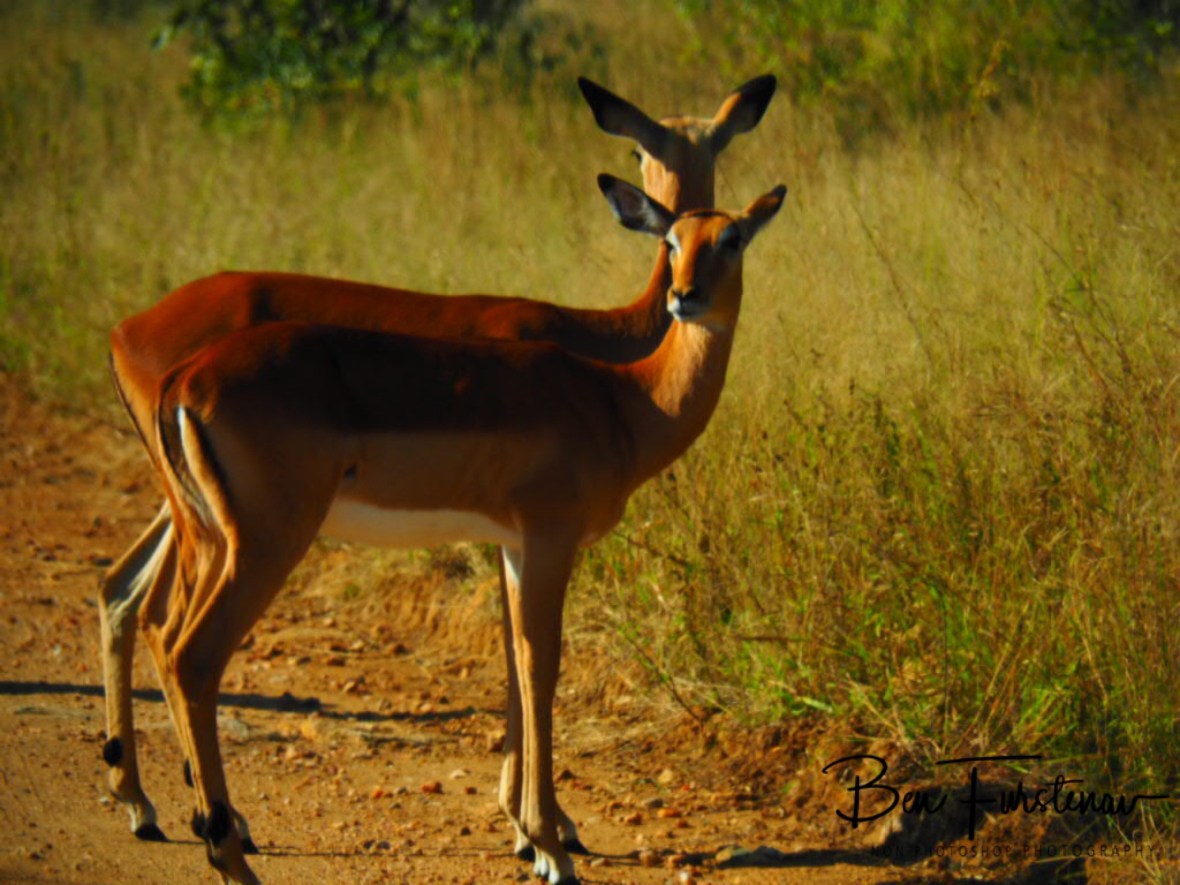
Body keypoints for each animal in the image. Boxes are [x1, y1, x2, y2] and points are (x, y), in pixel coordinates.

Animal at [98, 74, 777, 854]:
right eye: (643, 151)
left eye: (729, 230)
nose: (684, 292)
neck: (615, 376)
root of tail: (151, 348)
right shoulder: (537, 538)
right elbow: (532, 663)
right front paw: (542, 834)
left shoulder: (510, 542)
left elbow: (519, 660)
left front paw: (537, 826)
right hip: (255, 537)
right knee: (181, 641)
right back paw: (208, 822)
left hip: (197, 520)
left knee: (132, 602)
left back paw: (156, 806)